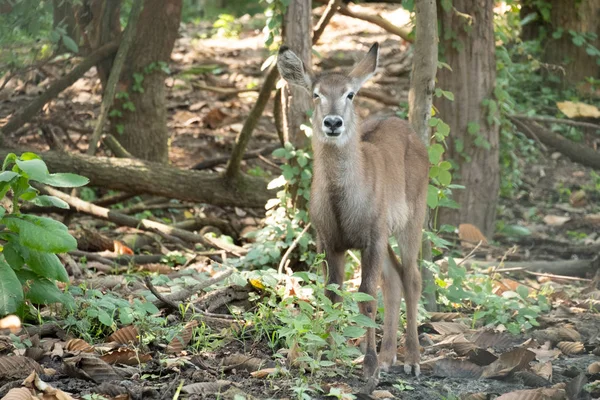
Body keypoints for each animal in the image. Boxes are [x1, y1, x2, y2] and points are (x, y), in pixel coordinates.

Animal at [278, 43, 428, 378]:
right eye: (316, 93)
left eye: (350, 94)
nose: (333, 123)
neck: (342, 202)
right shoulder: (329, 240)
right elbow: (333, 295)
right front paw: (327, 352)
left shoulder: (372, 236)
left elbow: (366, 297)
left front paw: (368, 365)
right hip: (386, 233)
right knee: (394, 279)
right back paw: (389, 356)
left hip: (413, 217)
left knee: (412, 278)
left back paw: (412, 359)